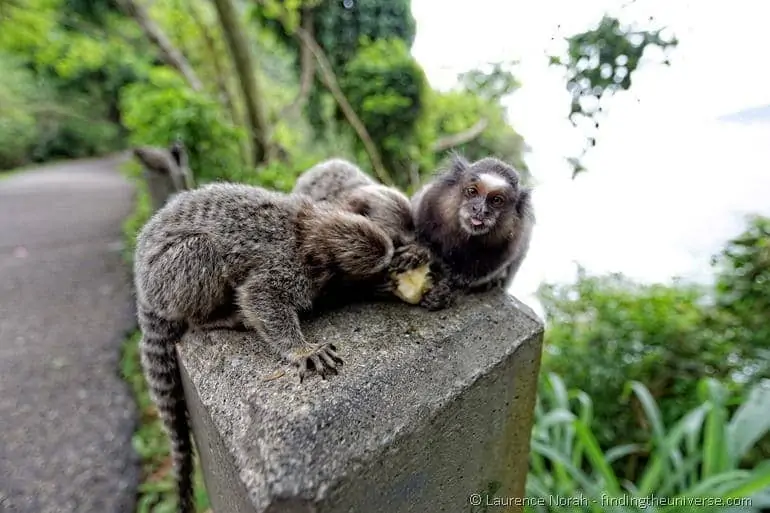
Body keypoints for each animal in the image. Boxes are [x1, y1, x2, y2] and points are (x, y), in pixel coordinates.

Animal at [132, 182, 396, 513]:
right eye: (380, 269)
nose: (391, 273)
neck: (307, 229)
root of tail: (143, 289)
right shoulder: (288, 266)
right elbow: (259, 297)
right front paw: (303, 351)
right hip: (167, 278)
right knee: (201, 250)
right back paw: (213, 318)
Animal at [410, 154, 535, 311]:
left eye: (496, 200)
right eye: (472, 191)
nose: (480, 210)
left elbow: (465, 280)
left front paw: (444, 293)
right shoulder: (427, 206)